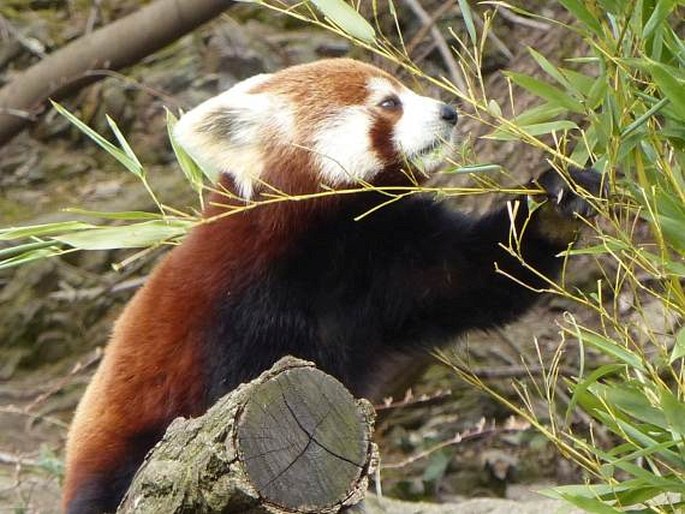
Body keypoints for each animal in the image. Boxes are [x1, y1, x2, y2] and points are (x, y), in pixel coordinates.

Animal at [61, 58, 600, 510]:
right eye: (389, 103)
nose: (449, 112)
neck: (328, 245)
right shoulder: (234, 306)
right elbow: (237, 383)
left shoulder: (392, 254)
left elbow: (475, 276)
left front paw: (555, 205)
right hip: (117, 451)